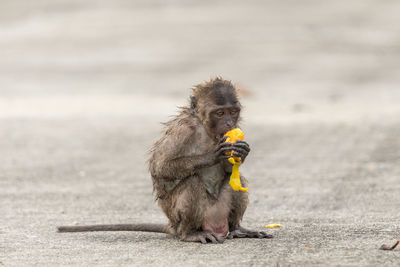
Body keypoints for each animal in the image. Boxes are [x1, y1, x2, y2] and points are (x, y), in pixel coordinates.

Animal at [57, 78, 272, 245]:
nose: (229, 123)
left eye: (232, 112)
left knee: (236, 181)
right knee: (192, 182)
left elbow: (231, 169)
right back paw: (190, 234)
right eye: (220, 113)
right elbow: (160, 167)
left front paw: (241, 152)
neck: (205, 129)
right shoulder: (183, 130)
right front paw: (211, 156)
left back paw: (236, 229)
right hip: (178, 216)